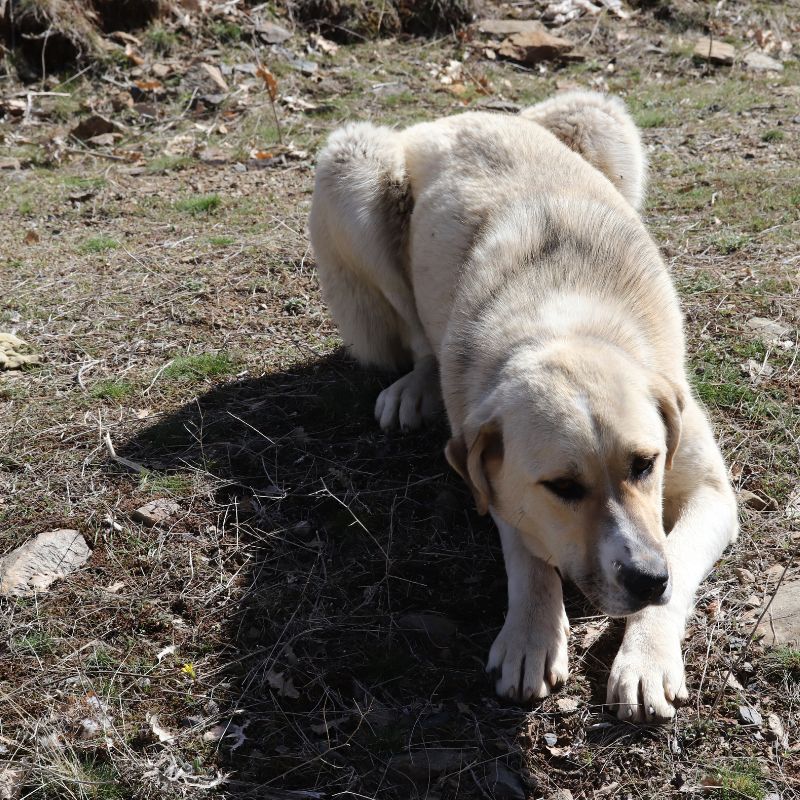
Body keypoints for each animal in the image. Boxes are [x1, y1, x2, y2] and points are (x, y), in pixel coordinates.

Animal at [306, 90, 736, 720]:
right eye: (562, 487)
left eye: (645, 464)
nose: (645, 581)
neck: (565, 323)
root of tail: (466, 116)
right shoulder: (491, 472)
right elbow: (526, 553)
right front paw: (532, 634)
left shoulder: (711, 492)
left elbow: (678, 555)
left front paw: (646, 657)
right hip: (351, 172)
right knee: (414, 330)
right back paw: (416, 386)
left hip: (602, 120)